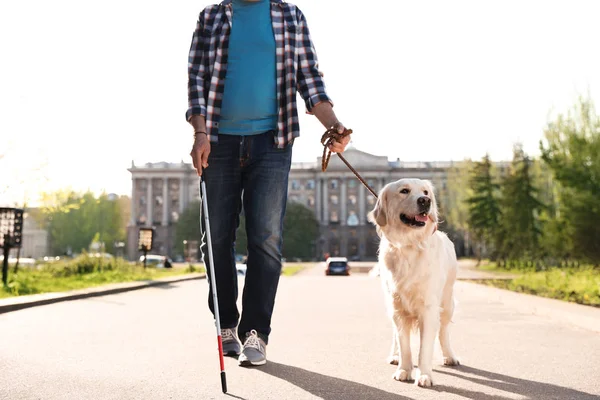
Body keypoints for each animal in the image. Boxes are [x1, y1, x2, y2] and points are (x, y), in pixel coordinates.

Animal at [366, 178, 460, 388]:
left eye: (425, 192)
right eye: (404, 191)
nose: (425, 201)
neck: (409, 245)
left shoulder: (429, 308)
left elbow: (425, 347)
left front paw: (424, 375)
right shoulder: (398, 307)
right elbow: (404, 344)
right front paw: (404, 370)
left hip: (447, 302)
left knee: (444, 331)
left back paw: (450, 357)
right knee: (395, 335)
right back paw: (394, 356)